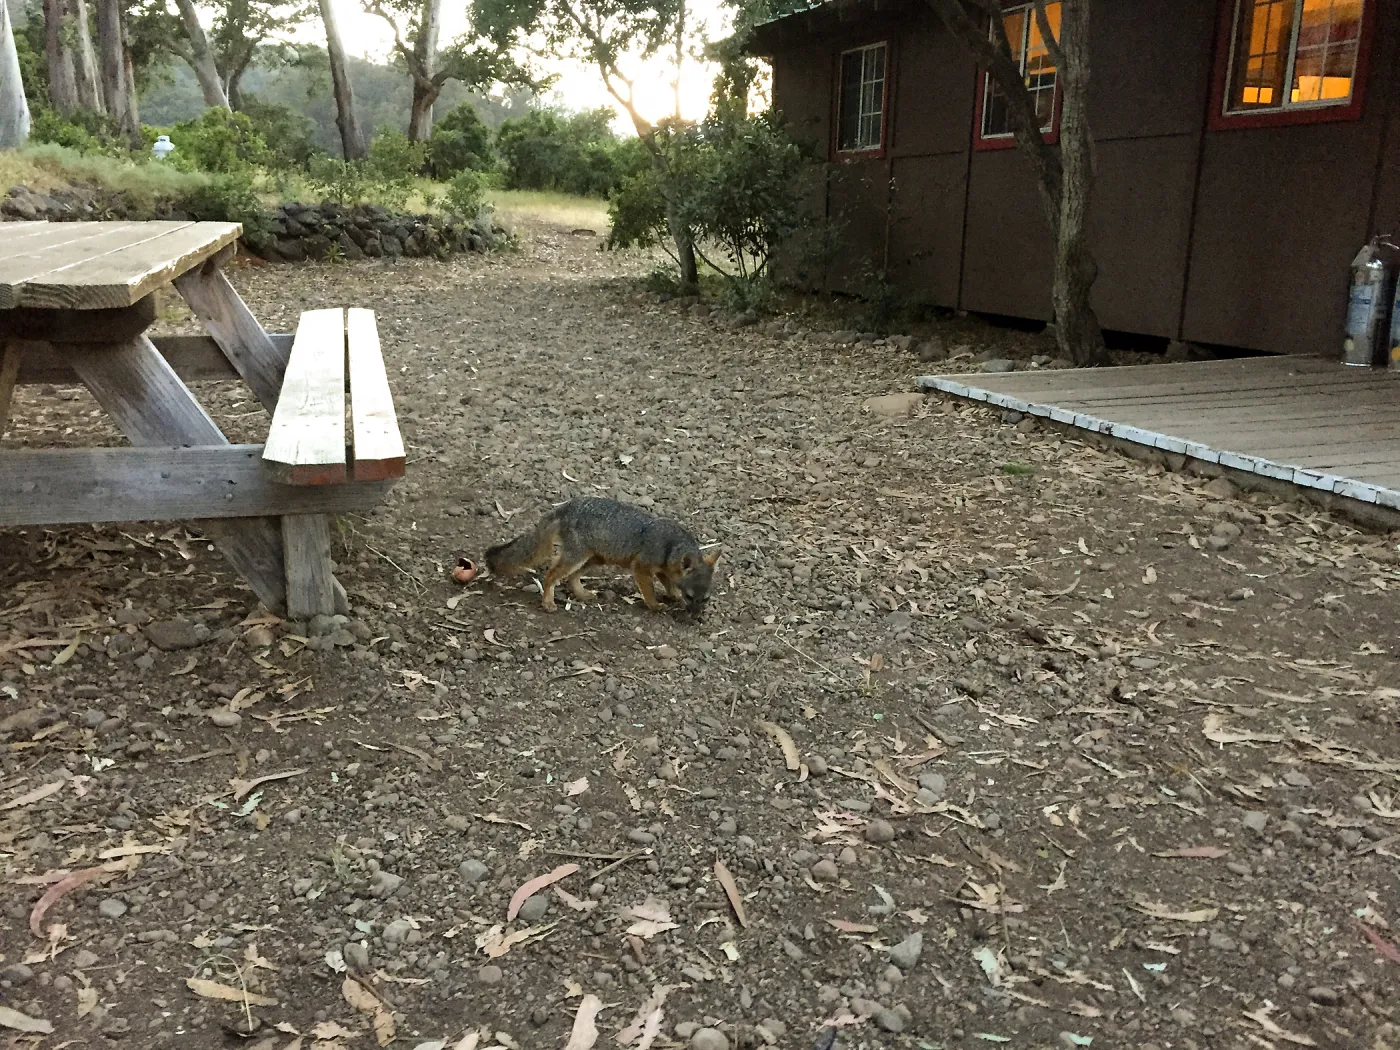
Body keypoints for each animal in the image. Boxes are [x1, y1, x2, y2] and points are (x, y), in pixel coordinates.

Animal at [484, 497, 721, 619]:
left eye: (705, 599)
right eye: (691, 597)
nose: (696, 617)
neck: (670, 544)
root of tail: (566, 506)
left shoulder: (663, 568)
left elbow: (669, 583)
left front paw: (673, 595)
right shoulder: (641, 566)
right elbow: (649, 590)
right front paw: (655, 605)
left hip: (594, 559)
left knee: (571, 578)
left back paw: (581, 593)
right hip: (577, 557)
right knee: (551, 575)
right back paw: (548, 602)